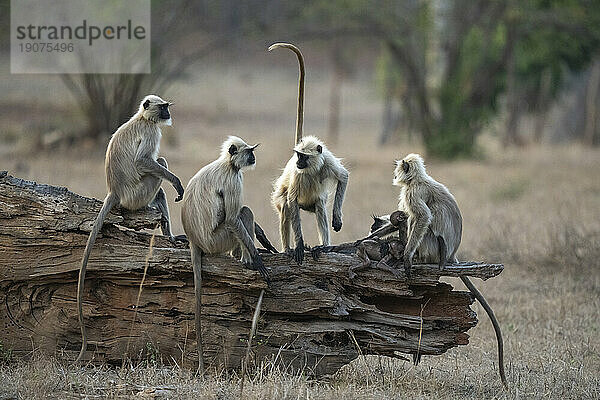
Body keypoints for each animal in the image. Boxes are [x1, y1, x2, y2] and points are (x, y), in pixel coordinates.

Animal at [77, 96, 185, 362]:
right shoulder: (151, 131)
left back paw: (169, 235)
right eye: (163, 107)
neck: (142, 118)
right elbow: (142, 161)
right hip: (137, 195)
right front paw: (177, 182)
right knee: (159, 163)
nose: (167, 114)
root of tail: (114, 191)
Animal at [180, 136, 270, 374]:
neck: (228, 164)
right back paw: (246, 260)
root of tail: (194, 239)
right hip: (217, 240)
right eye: (249, 151)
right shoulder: (233, 179)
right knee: (241, 213)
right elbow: (232, 217)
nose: (254, 157)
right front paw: (256, 259)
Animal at [270, 43, 350, 266]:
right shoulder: (297, 176)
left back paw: (323, 247)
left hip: (313, 204)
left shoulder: (327, 162)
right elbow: (291, 201)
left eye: (303, 156)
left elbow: (343, 177)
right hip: (285, 199)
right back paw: (288, 249)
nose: (297, 162)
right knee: (286, 207)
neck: (313, 168)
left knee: (320, 207)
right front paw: (298, 245)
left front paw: (337, 217)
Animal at [394, 153, 506, 388]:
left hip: (433, 250)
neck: (418, 179)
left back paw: (415, 256)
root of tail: (451, 255)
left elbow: (423, 218)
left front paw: (407, 257)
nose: (396, 170)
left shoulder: (413, 192)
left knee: (422, 224)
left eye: (400, 166)